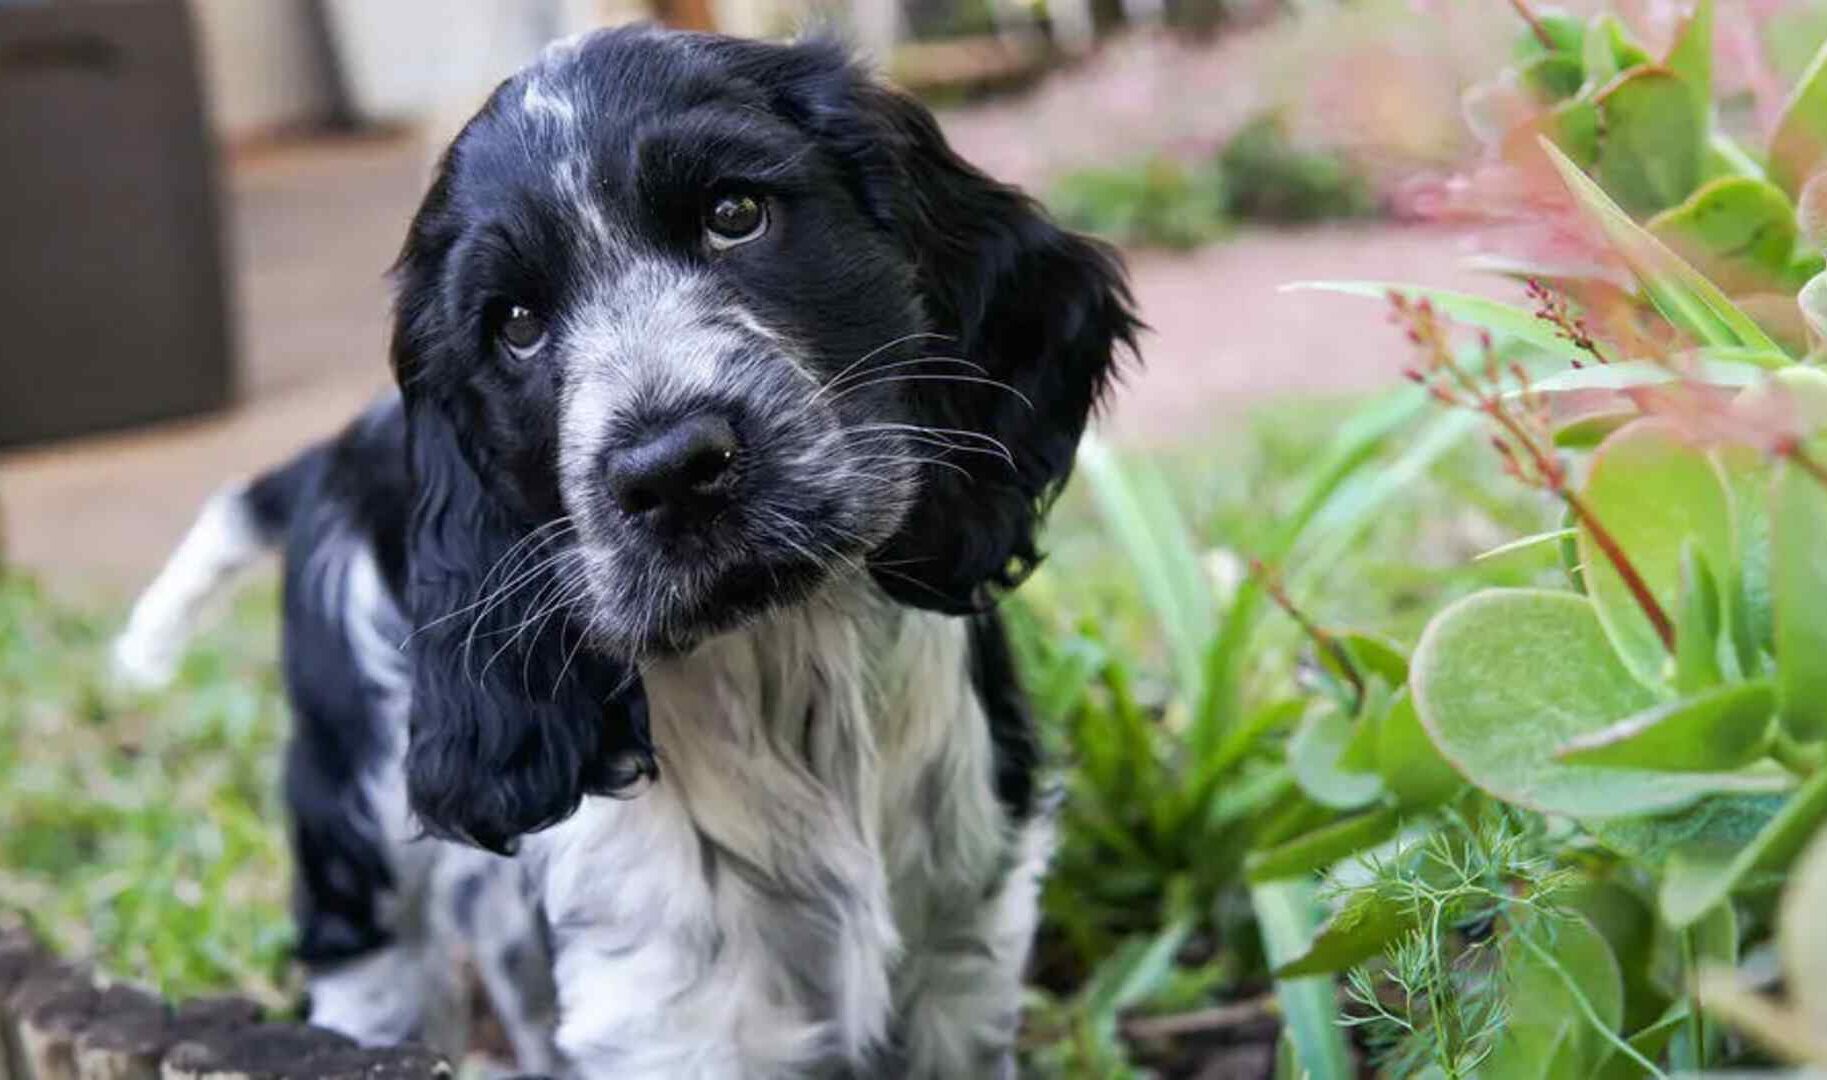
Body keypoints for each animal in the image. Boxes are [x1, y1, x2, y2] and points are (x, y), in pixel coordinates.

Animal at [114, 25, 1132, 1080]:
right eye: (516, 326)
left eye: (735, 215)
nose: (671, 472)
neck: (786, 664)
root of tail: (340, 450)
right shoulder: (666, 1012)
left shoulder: (963, 956)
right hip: (359, 847)